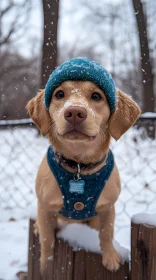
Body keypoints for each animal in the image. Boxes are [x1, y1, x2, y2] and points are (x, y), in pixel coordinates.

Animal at [26, 58, 141, 272]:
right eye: (59, 94)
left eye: (96, 96)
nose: (74, 112)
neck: (79, 165)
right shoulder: (45, 207)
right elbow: (47, 239)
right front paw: (46, 263)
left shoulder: (107, 207)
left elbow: (106, 233)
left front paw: (110, 256)